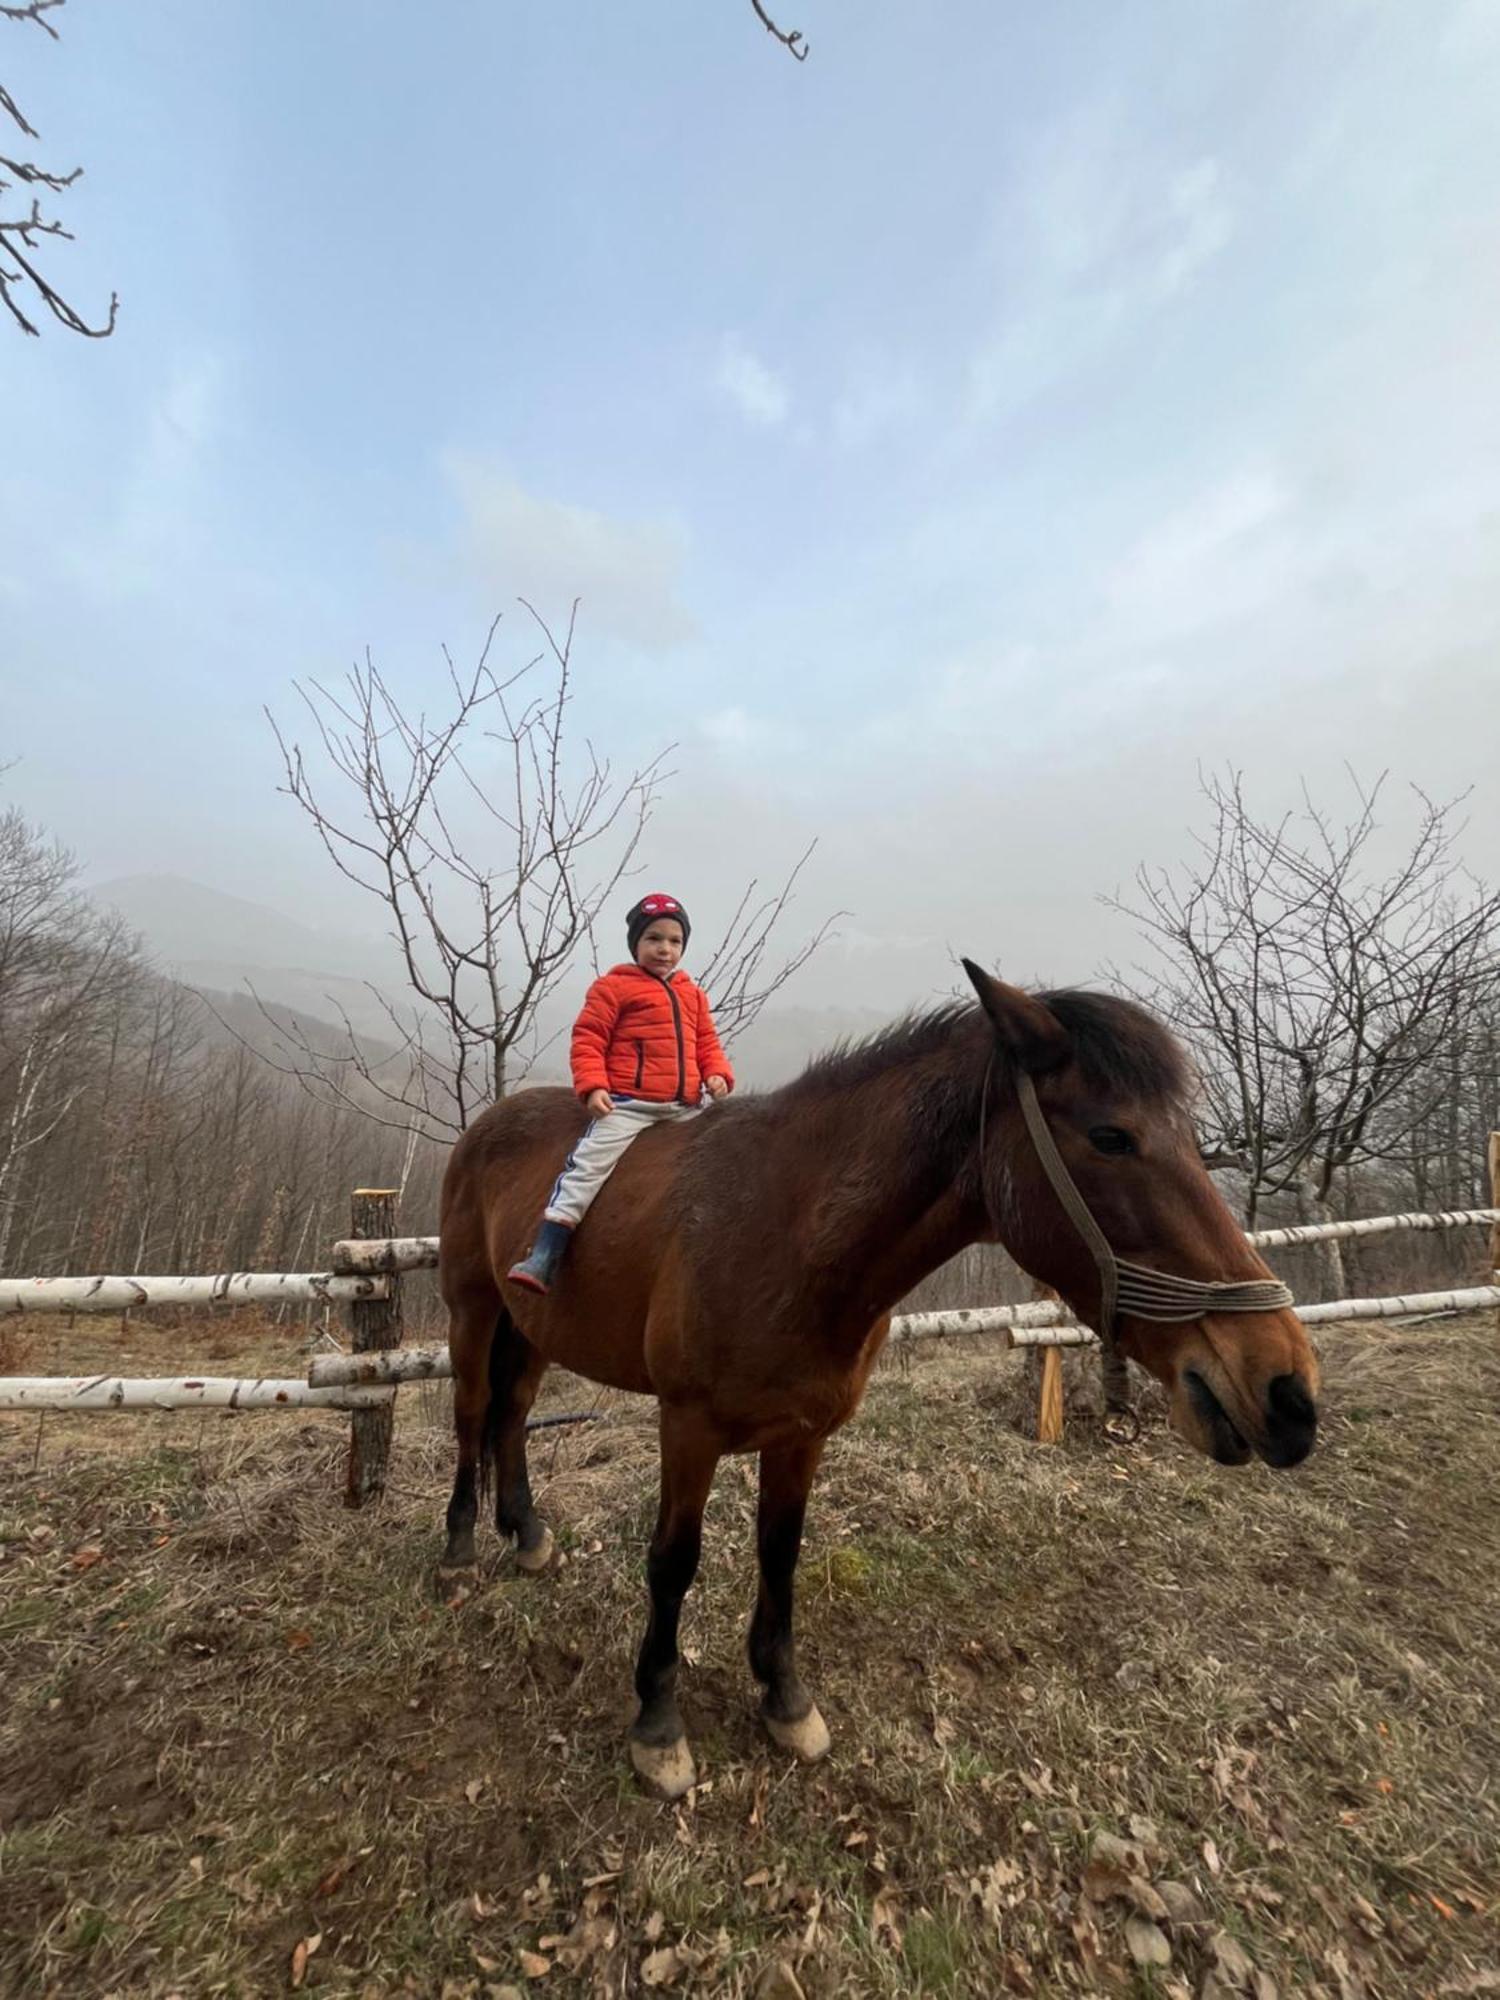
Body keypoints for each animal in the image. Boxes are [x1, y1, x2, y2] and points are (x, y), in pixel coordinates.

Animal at [440, 964, 1320, 1800]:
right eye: (1112, 1137)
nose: (1287, 1388)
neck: (785, 1230)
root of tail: (490, 1123)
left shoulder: (802, 1435)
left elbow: (780, 1553)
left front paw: (784, 1699)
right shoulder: (686, 1428)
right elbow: (673, 1562)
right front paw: (657, 1725)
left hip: (533, 1328)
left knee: (513, 1415)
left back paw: (526, 1533)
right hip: (474, 1309)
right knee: (475, 1413)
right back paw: (457, 1546)